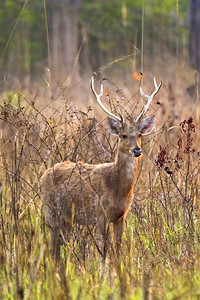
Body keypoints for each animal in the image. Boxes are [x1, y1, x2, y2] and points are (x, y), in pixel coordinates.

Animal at [38, 75, 161, 262]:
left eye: (140, 135)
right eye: (123, 135)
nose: (137, 150)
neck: (117, 188)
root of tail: (42, 176)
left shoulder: (121, 215)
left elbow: (117, 248)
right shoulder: (99, 212)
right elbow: (103, 250)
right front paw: (103, 269)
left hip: (66, 218)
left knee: (59, 246)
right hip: (50, 210)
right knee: (53, 248)